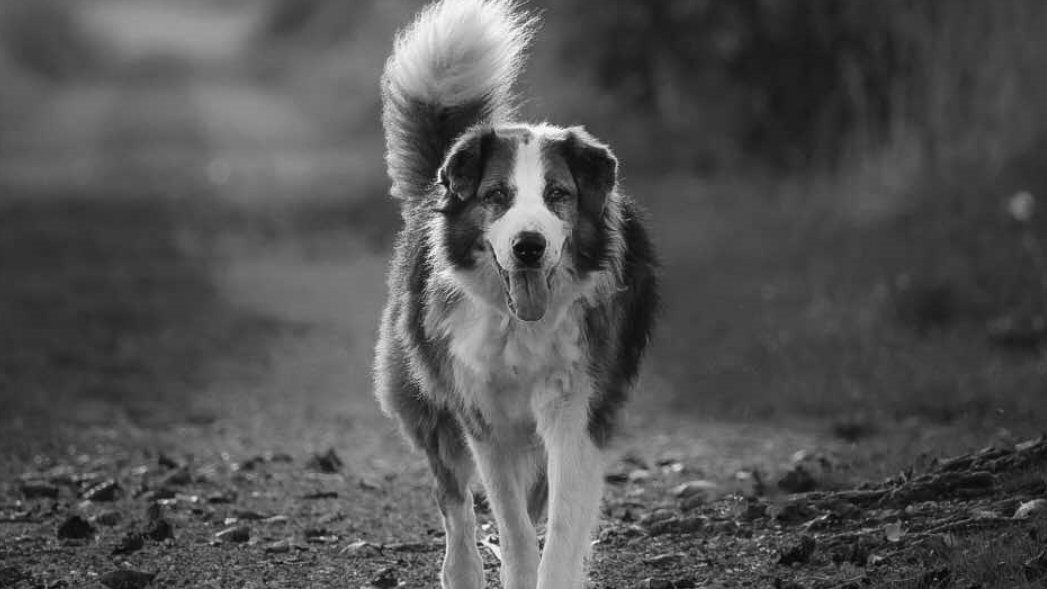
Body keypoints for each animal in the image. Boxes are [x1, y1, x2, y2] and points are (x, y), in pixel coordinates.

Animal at [374, 2, 653, 585]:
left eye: (558, 195)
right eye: (497, 196)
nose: (529, 247)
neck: (520, 325)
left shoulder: (578, 408)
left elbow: (562, 524)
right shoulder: (482, 416)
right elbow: (512, 524)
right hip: (427, 402)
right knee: (454, 499)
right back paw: (462, 569)